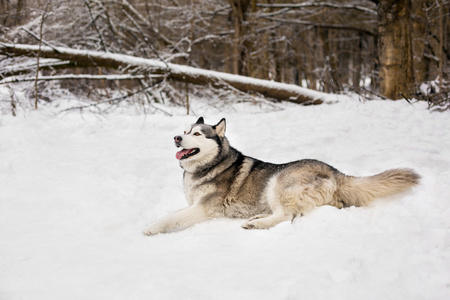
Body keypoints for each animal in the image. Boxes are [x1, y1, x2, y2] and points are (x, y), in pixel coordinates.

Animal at [143, 118, 418, 236]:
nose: (176, 137)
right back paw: (257, 218)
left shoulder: (203, 208)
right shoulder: (194, 204)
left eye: (197, 134)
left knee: (286, 216)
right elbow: (173, 213)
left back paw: (256, 225)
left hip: (278, 181)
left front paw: (151, 228)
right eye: (184, 130)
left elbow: (171, 218)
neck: (210, 165)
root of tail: (334, 171)